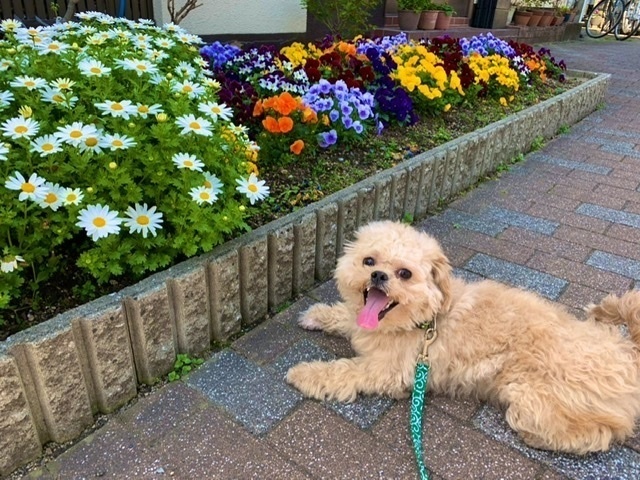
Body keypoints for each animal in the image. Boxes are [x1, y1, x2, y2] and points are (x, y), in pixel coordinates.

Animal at [286, 221, 640, 454]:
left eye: (405, 274)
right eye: (368, 260)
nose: (378, 275)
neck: (423, 321)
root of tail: (627, 350)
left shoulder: (386, 371)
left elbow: (342, 370)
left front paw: (303, 372)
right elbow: (345, 316)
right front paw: (317, 316)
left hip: (532, 398)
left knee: (600, 433)